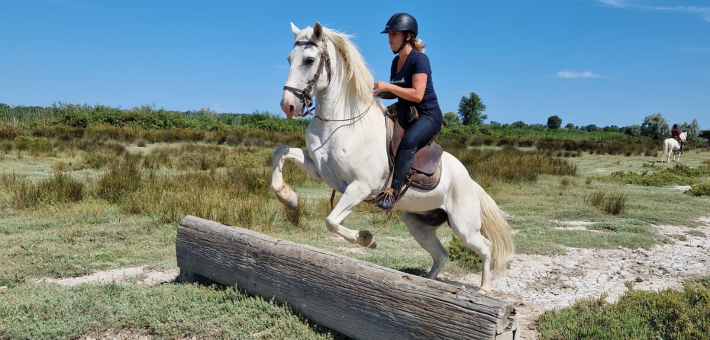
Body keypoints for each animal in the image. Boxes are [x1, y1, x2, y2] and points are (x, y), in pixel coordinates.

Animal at [272, 21, 512, 294]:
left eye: (310, 60)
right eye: (289, 58)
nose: (288, 106)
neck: (341, 122)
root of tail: (471, 181)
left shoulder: (360, 187)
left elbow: (331, 221)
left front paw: (367, 239)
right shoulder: (320, 169)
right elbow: (281, 151)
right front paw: (288, 198)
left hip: (464, 227)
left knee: (485, 247)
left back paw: (483, 289)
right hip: (417, 222)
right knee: (441, 254)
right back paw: (427, 283)